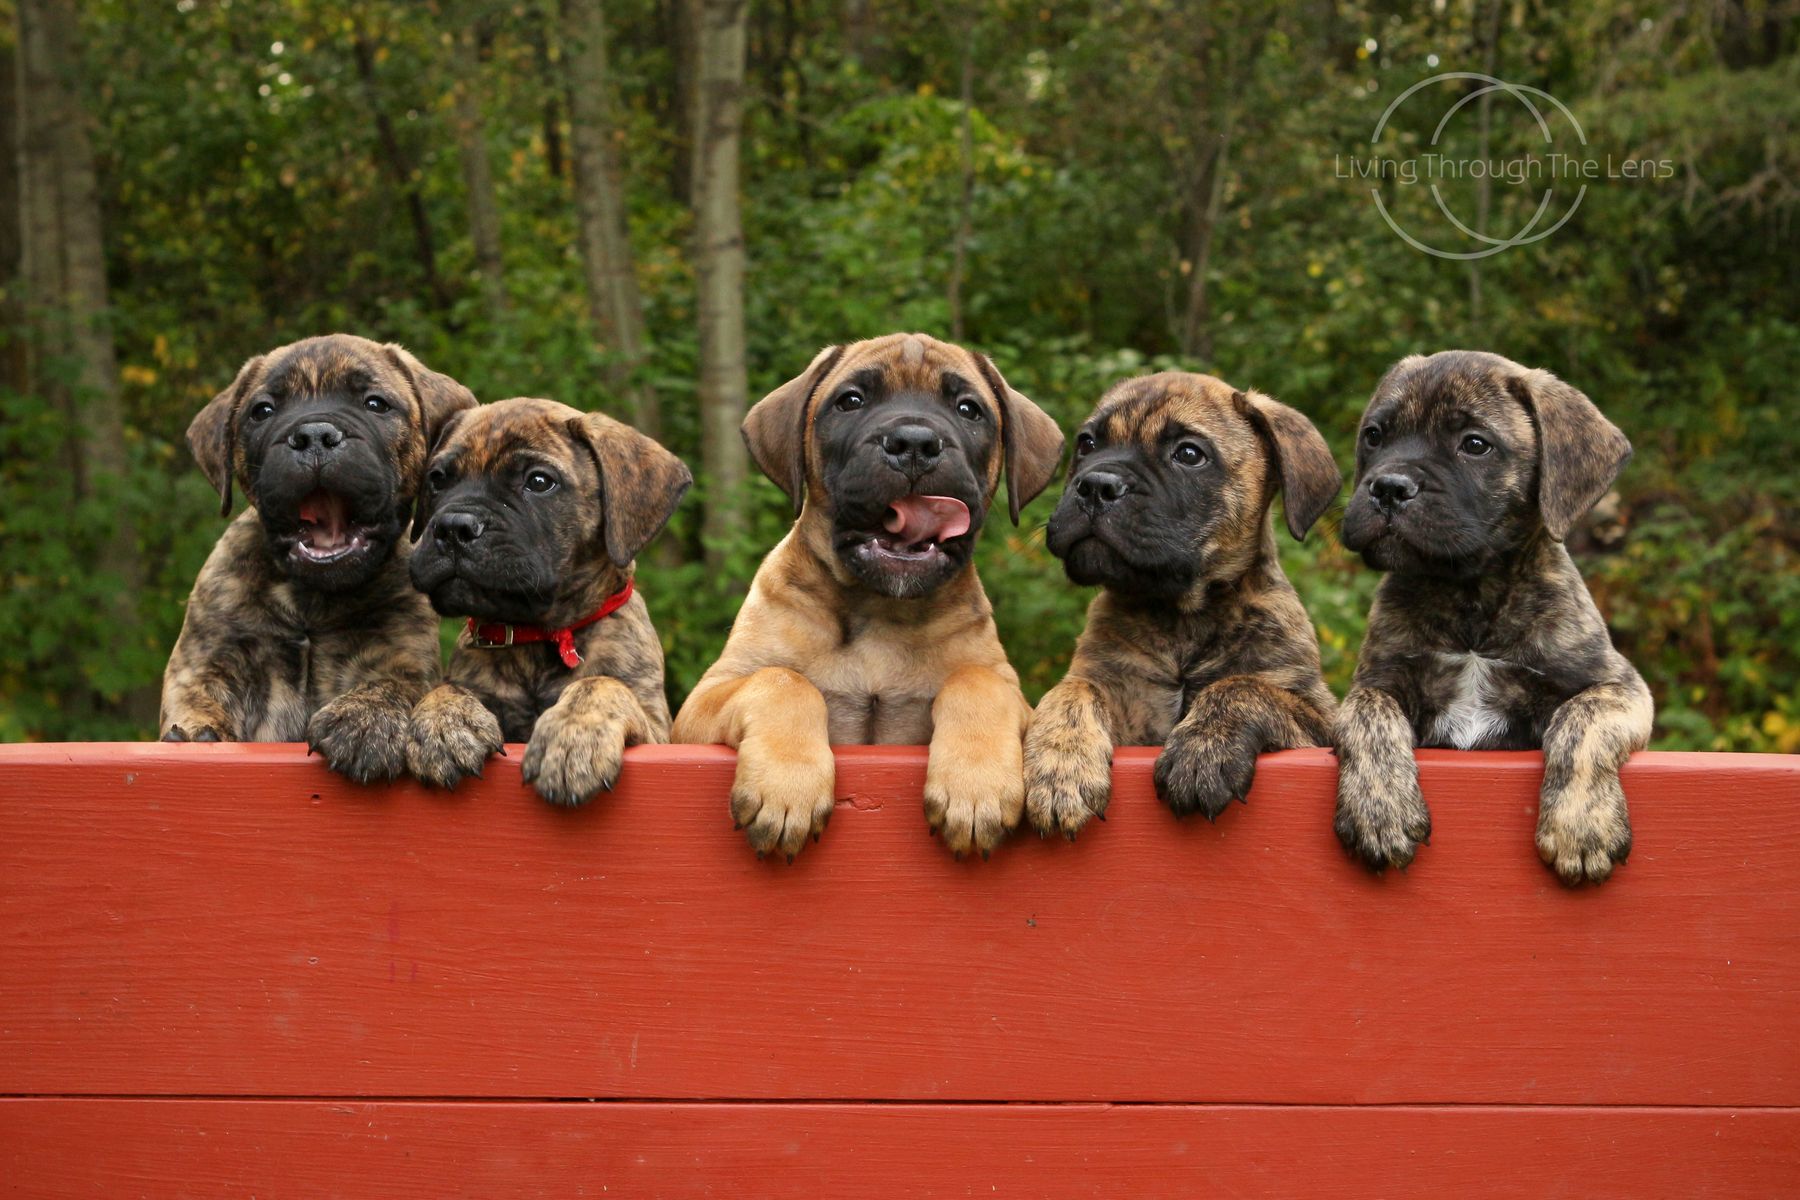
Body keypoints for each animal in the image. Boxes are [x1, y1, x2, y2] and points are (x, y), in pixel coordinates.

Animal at [160, 332, 478, 784]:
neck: (312, 601)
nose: (313, 435)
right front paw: (193, 733)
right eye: (262, 411)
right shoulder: (204, 659)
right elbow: (198, 696)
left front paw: (365, 718)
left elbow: (392, 685)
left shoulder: (404, 655)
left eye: (376, 403)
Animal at [405, 401, 691, 805]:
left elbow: (600, 684)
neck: (537, 638)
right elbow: (444, 687)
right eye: (438, 478)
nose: (453, 527)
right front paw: (444, 722)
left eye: (539, 482)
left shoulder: (659, 733)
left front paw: (572, 738)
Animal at [676, 336, 1065, 863]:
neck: (880, 610)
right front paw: (787, 787)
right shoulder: (703, 701)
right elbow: (782, 681)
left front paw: (974, 787)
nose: (914, 443)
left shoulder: (1013, 693)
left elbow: (977, 680)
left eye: (969, 409)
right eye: (851, 401)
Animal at [1022, 372, 1346, 834]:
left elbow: (1243, 687)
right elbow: (1072, 690)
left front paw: (1203, 750)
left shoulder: (1319, 717)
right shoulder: (1114, 694)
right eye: (1087, 443)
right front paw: (1061, 766)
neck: (1180, 618)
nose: (1096, 485)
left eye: (1189, 454)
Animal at [1332, 347, 1648, 881]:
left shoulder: (1619, 687)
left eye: (1475, 445)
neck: (1471, 600)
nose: (1388, 487)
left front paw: (1580, 826)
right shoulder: (1377, 679)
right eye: (1374, 435)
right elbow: (1366, 715)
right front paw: (1380, 811)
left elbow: (1582, 722)